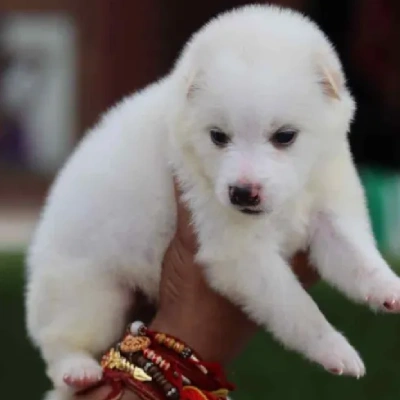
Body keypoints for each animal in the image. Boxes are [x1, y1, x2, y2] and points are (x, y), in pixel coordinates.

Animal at [25, 3, 400, 396]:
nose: (242, 192)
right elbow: (297, 307)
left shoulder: (328, 208)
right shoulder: (240, 254)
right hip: (90, 296)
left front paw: (389, 288)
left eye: (285, 136)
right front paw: (334, 348)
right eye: (218, 136)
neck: (286, 202)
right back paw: (78, 369)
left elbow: (358, 257)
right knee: (60, 345)